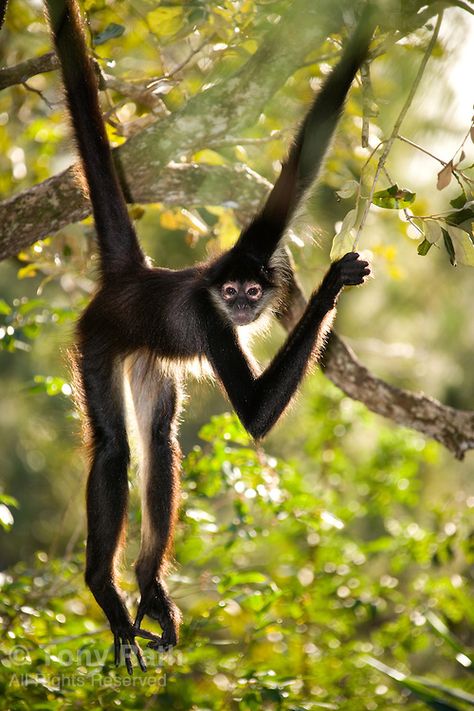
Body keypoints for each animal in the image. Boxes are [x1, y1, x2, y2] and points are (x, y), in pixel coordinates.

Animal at [46, 0, 376, 672]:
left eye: (253, 291)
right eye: (230, 295)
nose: (244, 306)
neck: (216, 289)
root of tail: (132, 278)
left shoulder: (256, 245)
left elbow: (304, 158)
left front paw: (363, 31)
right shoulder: (205, 318)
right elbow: (251, 412)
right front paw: (330, 284)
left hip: (148, 358)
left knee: (159, 443)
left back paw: (148, 584)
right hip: (100, 337)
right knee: (116, 447)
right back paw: (106, 589)